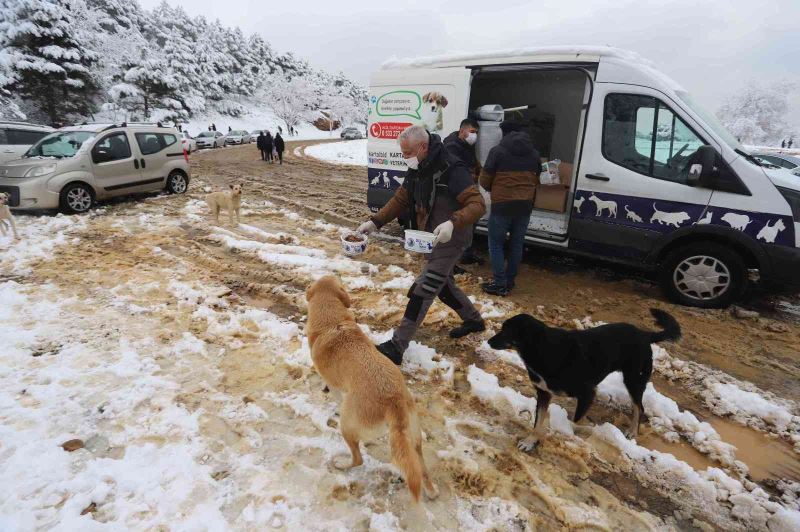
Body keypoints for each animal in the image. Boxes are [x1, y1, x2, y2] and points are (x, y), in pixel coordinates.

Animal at [304, 276, 438, 504]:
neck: (333, 321)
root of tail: (394, 401)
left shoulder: (335, 384)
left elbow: (333, 392)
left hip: (348, 425)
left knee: (358, 458)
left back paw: (341, 464)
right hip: (414, 438)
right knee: (422, 468)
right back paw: (431, 491)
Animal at [488, 308, 680, 448]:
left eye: (506, 331)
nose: (488, 341)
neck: (544, 350)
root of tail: (644, 334)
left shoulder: (588, 392)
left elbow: (575, 421)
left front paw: (585, 430)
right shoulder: (544, 394)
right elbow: (538, 423)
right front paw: (530, 441)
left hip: (634, 380)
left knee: (639, 407)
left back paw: (632, 431)